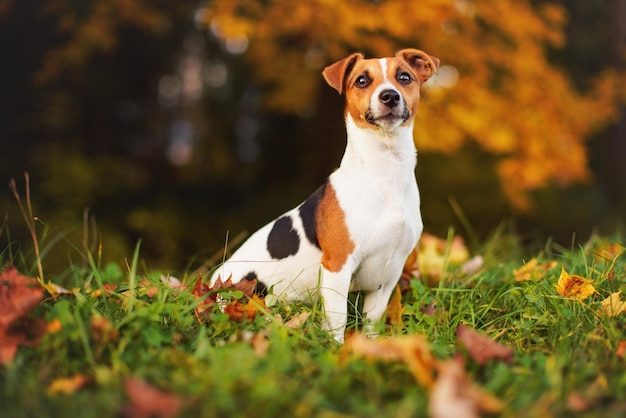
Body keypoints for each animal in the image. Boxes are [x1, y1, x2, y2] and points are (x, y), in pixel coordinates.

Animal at [211, 49, 438, 342]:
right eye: (362, 80)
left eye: (404, 77)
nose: (390, 96)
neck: (384, 173)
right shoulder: (337, 267)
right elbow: (337, 320)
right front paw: (337, 348)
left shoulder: (389, 273)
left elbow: (372, 321)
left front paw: (370, 346)